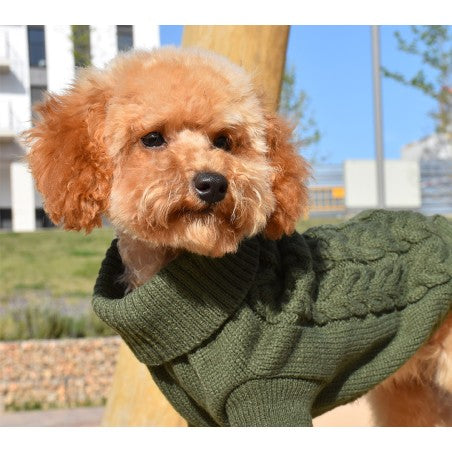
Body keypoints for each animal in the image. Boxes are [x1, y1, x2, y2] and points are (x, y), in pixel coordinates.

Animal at [26, 47, 450, 426]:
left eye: (224, 141)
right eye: (152, 138)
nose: (212, 183)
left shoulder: (271, 395)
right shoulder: (205, 418)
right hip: (412, 391)